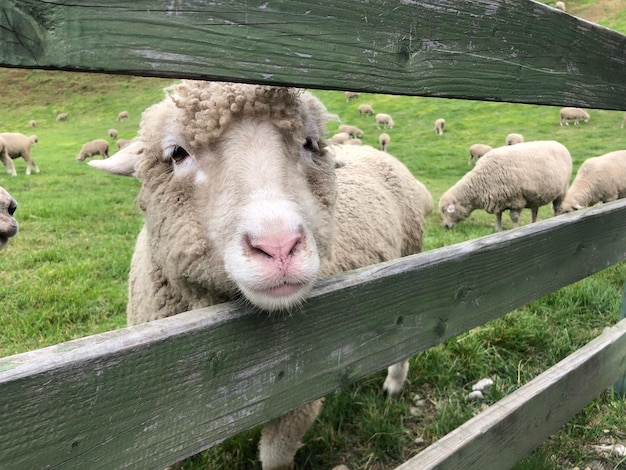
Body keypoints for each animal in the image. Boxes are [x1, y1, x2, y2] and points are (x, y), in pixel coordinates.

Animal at [90, 80, 432, 470]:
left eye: (309, 143)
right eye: (177, 153)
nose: (279, 247)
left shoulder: (299, 395)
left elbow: (274, 458)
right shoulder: (149, 429)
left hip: (409, 265)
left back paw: (394, 384)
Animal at [438, 141, 572, 233]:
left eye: (445, 210)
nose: (446, 226)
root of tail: (559, 144)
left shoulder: (516, 200)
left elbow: (514, 218)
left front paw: (514, 230)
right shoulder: (497, 200)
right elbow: (498, 216)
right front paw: (498, 230)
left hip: (562, 190)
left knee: (557, 208)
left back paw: (555, 219)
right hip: (536, 195)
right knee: (534, 211)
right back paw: (533, 224)